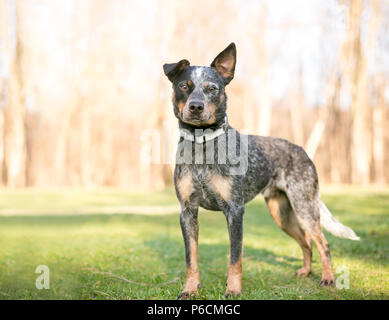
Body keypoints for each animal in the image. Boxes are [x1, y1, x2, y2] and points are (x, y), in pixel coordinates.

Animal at [162, 42, 360, 298]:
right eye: (184, 86)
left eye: (212, 88)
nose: (196, 106)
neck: (203, 144)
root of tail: (302, 151)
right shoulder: (187, 211)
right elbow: (191, 258)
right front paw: (190, 289)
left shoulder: (235, 211)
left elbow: (235, 258)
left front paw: (233, 290)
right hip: (280, 213)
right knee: (306, 241)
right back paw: (306, 272)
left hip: (304, 207)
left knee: (322, 243)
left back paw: (328, 278)